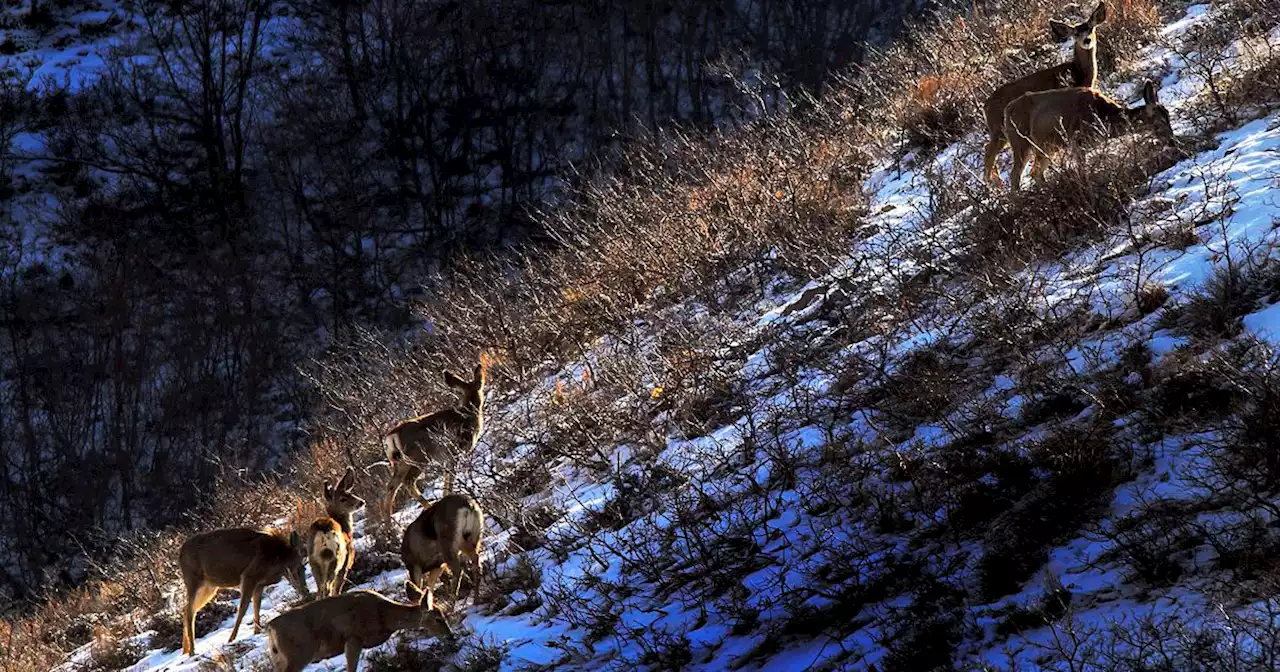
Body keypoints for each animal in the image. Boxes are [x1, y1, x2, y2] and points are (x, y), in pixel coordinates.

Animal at [177, 527, 309, 652]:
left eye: (304, 569)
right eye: (299, 569)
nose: (307, 593)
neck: (278, 557)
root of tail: (180, 554)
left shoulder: (259, 585)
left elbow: (256, 606)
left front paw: (256, 631)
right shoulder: (249, 576)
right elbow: (243, 609)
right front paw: (231, 639)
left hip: (210, 587)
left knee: (187, 609)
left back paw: (186, 650)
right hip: (194, 580)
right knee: (189, 610)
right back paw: (192, 650)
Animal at [309, 465, 366, 596]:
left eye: (350, 493)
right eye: (343, 499)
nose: (361, 502)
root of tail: (323, 531)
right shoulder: (346, 564)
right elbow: (338, 588)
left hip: (313, 560)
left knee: (320, 589)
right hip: (336, 558)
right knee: (328, 588)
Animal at [977, 1, 1111, 185]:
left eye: (1091, 28)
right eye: (1076, 33)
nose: (1087, 40)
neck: (1078, 73)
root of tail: (985, 106)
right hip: (1000, 129)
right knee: (991, 152)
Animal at [1003, 81, 1172, 190]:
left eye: (1168, 115)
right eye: (1160, 121)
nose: (1172, 140)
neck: (1104, 117)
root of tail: (1007, 110)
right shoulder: (1077, 140)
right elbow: (1082, 170)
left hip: (1048, 147)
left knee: (1035, 172)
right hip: (1021, 142)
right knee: (1015, 175)